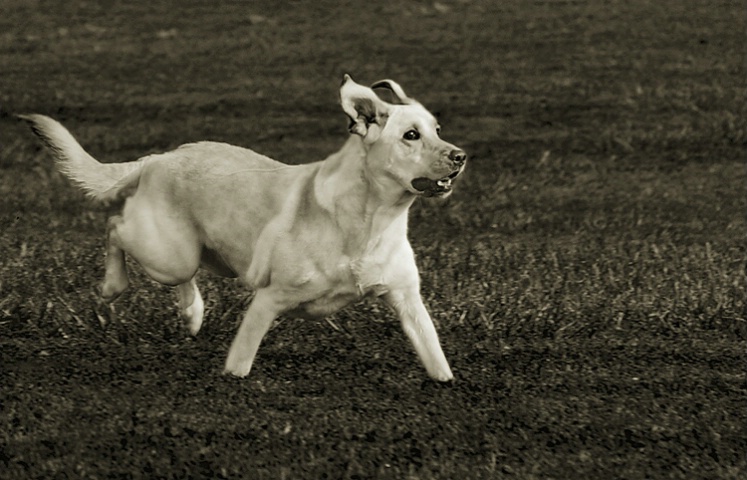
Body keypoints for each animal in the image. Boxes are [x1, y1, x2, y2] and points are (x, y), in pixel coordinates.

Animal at [19, 75, 468, 382]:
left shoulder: (407, 300)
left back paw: (192, 314)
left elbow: (436, 358)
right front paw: (232, 380)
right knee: (114, 225)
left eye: (438, 130)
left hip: (203, 255)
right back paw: (115, 286)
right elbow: (239, 361)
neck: (372, 218)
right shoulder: (269, 299)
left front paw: (446, 383)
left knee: (178, 272)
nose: (461, 156)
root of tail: (159, 157)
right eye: (411, 135)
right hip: (168, 254)